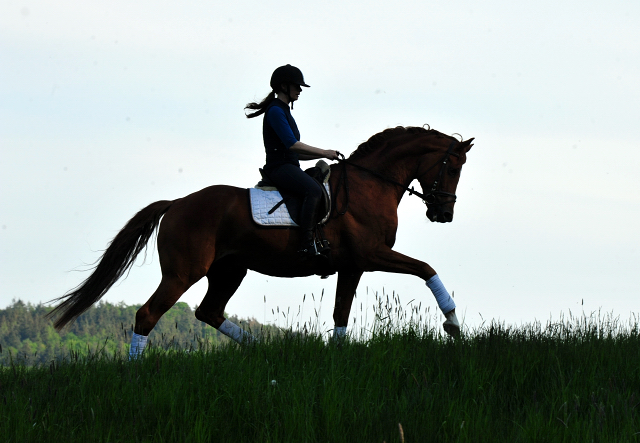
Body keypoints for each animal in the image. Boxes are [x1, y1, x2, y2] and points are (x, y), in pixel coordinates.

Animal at [47, 126, 472, 352]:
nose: (444, 214)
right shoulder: (372, 254)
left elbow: (340, 314)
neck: (370, 186)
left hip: (230, 270)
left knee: (209, 312)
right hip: (183, 272)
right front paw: (452, 323)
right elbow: (426, 269)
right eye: (452, 167)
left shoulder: (352, 265)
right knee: (148, 314)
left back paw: (264, 351)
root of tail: (178, 203)